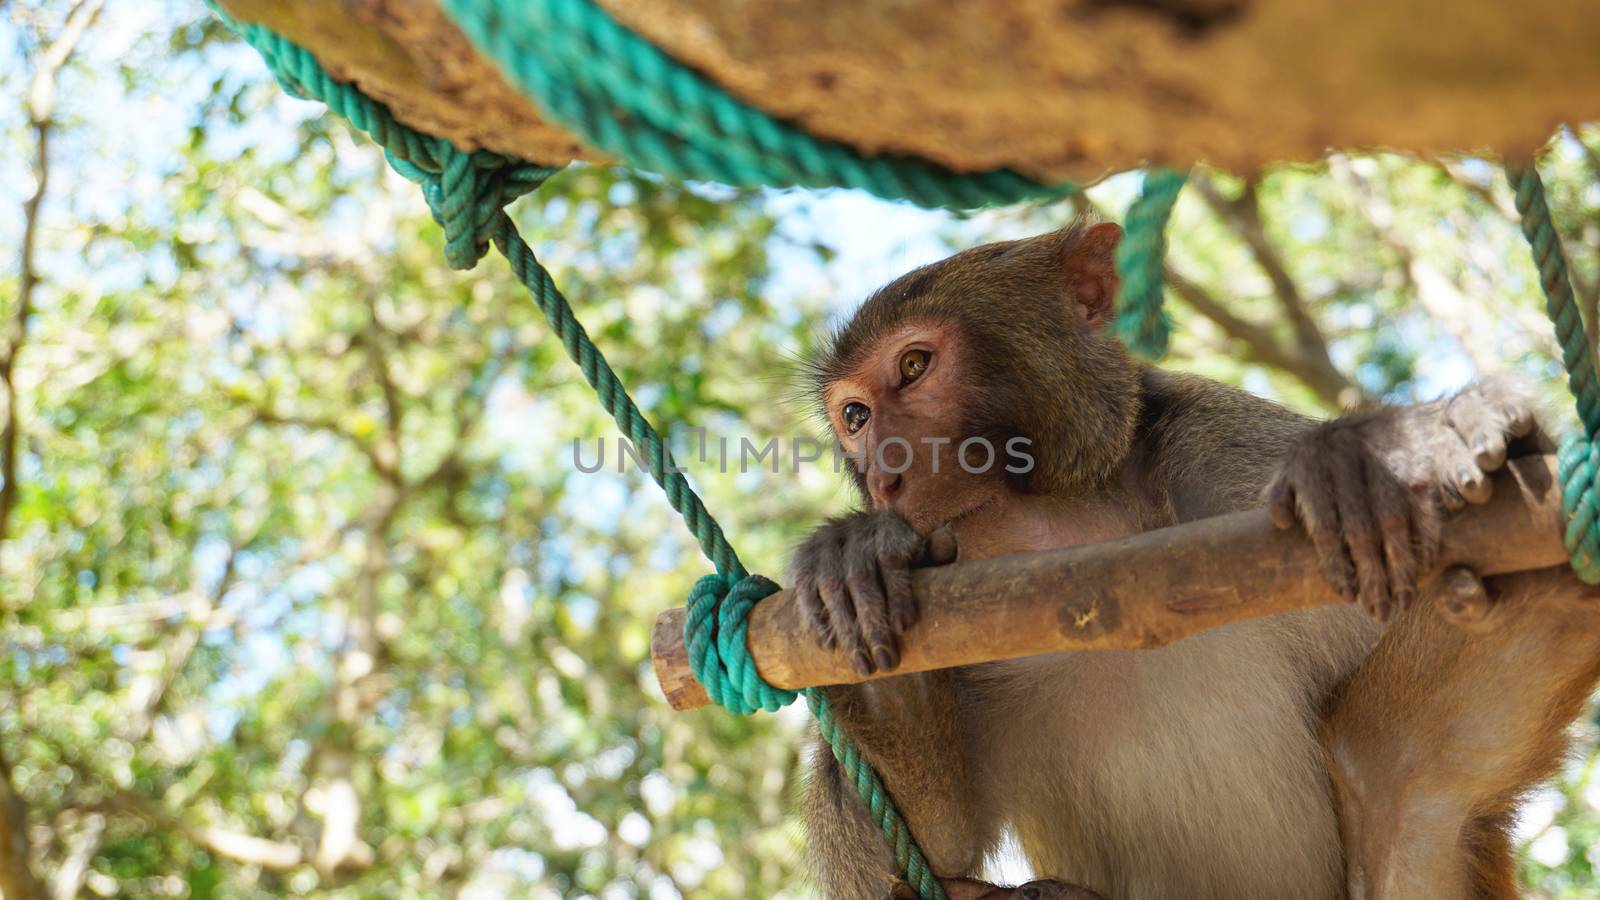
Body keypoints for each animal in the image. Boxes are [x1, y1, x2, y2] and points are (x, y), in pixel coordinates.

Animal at [796, 219, 1600, 896]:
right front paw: (864, 589)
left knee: (1399, 774)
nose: (885, 476)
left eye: (914, 366)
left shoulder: (1232, 457)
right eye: (856, 417)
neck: (1088, 558)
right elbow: (927, 853)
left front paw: (1410, 452)